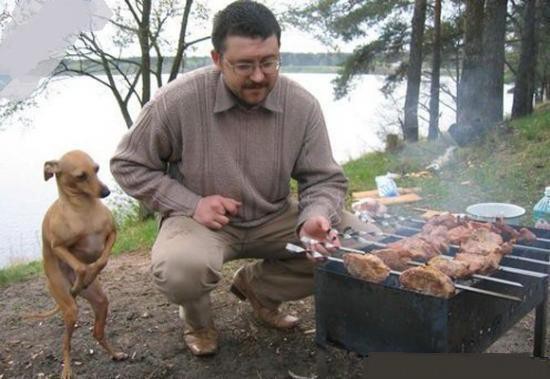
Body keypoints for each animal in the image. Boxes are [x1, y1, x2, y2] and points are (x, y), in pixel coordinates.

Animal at [32, 151, 127, 379]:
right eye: (80, 176)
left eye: (97, 169)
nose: (105, 191)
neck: (84, 211)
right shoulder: (58, 246)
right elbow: (81, 266)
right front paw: (82, 277)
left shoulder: (112, 234)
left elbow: (102, 260)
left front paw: (91, 274)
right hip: (69, 308)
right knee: (66, 344)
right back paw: (67, 369)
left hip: (100, 302)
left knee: (97, 333)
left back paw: (115, 354)